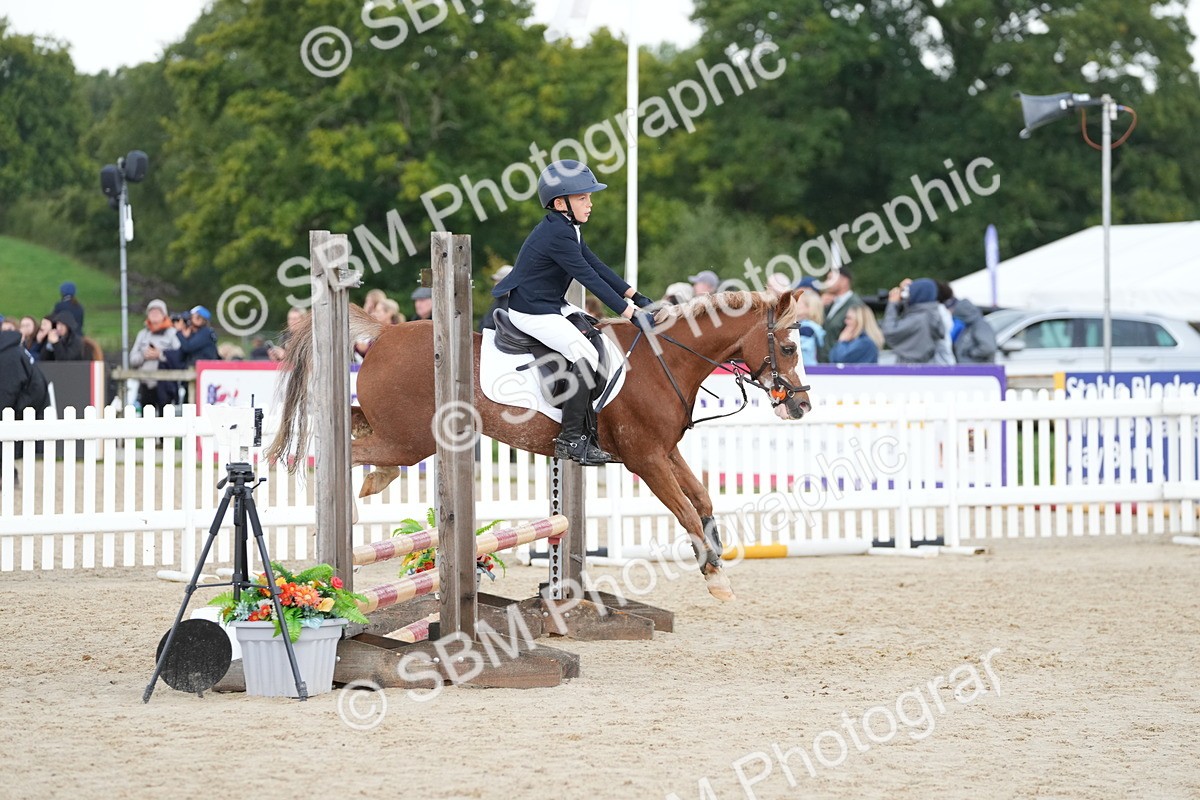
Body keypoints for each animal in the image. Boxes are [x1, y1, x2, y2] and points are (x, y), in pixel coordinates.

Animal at [267, 289, 813, 600]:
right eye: (789, 347)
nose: (801, 406)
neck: (663, 362)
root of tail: (383, 334)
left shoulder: (664, 451)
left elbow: (701, 500)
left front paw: (716, 563)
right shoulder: (645, 458)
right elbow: (684, 511)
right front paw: (716, 578)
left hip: (402, 435)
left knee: (353, 428)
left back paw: (372, 487)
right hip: (410, 439)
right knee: (333, 452)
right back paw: (344, 514)